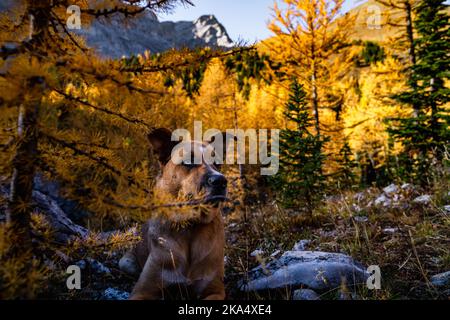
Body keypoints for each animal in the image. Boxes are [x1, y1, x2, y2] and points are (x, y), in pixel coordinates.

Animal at [119, 127, 229, 300]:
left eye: (217, 162)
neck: (190, 227)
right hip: (125, 263)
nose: (220, 181)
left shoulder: (215, 290)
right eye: (189, 161)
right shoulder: (142, 291)